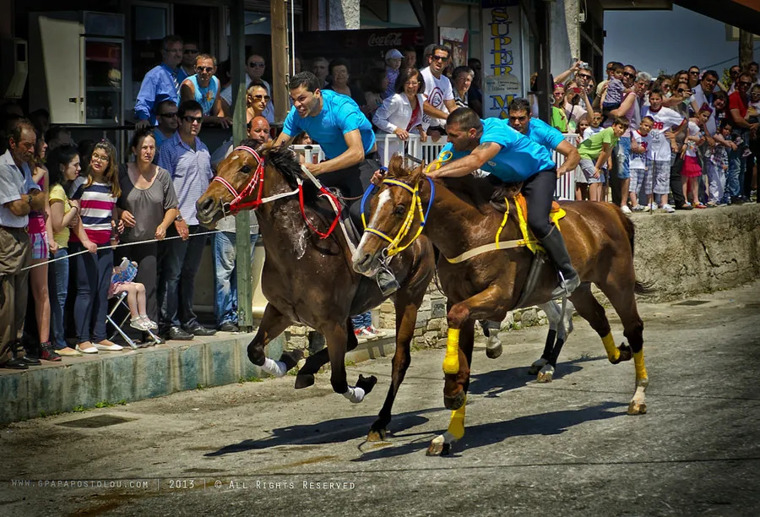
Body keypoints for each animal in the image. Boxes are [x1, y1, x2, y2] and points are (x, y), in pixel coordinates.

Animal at [195, 141, 436, 440]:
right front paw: (289, 361)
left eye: (245, 168)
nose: (204, 205)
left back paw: (380, 421)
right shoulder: (282, 310)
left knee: (398, 359)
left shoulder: (331, 322)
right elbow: (255, 351)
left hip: (409, 299)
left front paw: (362, 386)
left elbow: (339, 380)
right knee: (352, 342)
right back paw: (306, 370)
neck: (300, 249)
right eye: (218, 167)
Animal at [352, 156, 649, 456]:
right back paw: (617, 353)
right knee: (596, 318)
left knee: (632, 327)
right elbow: (464, 358)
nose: (362, 257)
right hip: (581, 289)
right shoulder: (460, 300)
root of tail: (610, 209)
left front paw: (452, 382)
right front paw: (450, 431)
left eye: (400, 209)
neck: (471, 231)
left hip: (618, 282)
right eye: (372, 204)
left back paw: (637, 395)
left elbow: (457, 318)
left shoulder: (498, 297)